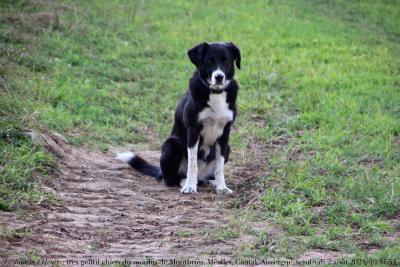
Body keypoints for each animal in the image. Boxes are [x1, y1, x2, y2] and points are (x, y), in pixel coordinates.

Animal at [116, 43, 241, 196]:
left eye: (226, 61)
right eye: (209, 61)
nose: (219, 77)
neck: (215, 93)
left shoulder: (225, 132)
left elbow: (219, 166)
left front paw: (222, 187)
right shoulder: (193, 130)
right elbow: (192, 164)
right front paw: (190, 186)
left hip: (227, 148)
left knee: (204, 177)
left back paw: (211, 182)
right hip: (171, 146)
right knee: (171, 179)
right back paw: (185, 182)